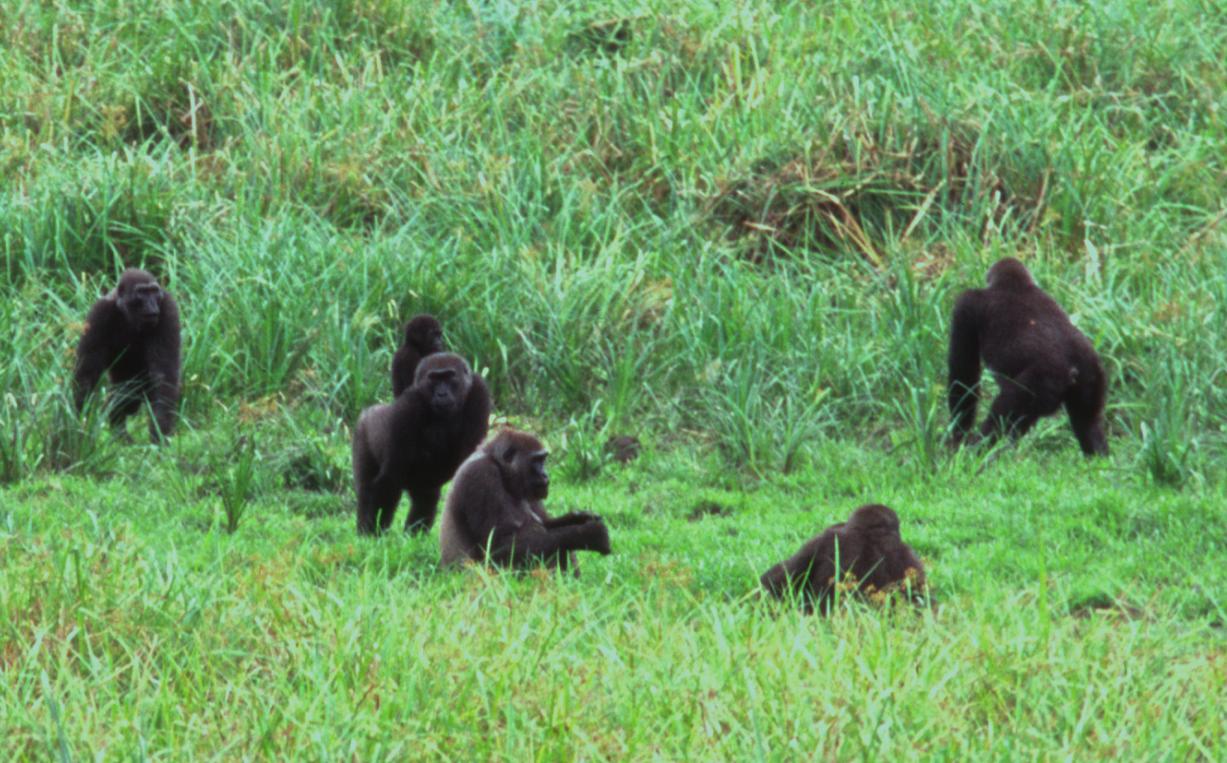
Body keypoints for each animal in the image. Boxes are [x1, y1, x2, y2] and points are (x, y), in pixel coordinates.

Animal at [72, 267, 181, 441]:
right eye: (142, 292)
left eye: (153, 292)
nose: (152, 304)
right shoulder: (99, 313)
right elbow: (87, 374)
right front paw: (80, 425)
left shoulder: (167, 307)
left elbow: (164, 376)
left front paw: (160, 431)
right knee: (121, 398)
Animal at [350, 353, 488, 537]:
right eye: (433, 379)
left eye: (449, 377)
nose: (442, 394)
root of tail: (367, 412)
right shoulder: (409, 406)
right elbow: (390, 477)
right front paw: (374, 533)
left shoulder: (479, 391)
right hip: (362, 432)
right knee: (366, 490)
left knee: (425, 498)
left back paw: (414, 534)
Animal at [439, 431, 613, 574]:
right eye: (537, 460)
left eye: (543, 459)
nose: (545, 475)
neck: (497, 465)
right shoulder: (480, 475)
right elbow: (500, 548)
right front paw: (588, 534)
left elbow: (547, 523)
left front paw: (579, 518)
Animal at [942, 260, 1109, 456]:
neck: (1015, 284)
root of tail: (1073, 369)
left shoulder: (966, 304)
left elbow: (963, 375)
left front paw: (958, 438)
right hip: (1092, 374)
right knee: (1088, 424)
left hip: (1039, 383)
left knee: (999, 419)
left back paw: (976, 452)